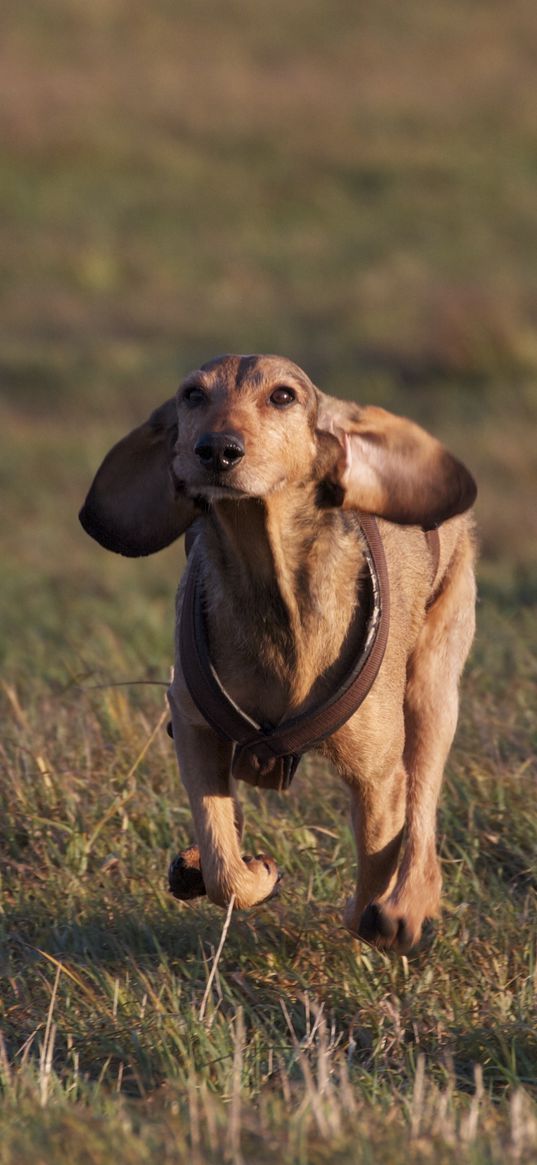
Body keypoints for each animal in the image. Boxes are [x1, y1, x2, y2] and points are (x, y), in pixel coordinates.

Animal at [78, 351, 472, 945]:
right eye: (193, 395)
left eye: (283, 396)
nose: (217, 448)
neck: (271, 584)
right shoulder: (192, 726)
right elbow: (223, 863)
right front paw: (246, 872)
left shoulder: (377, 776)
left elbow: (374, 870)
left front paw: (374, 911)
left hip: (433, 690)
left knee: (423, 804)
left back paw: (408, 906)